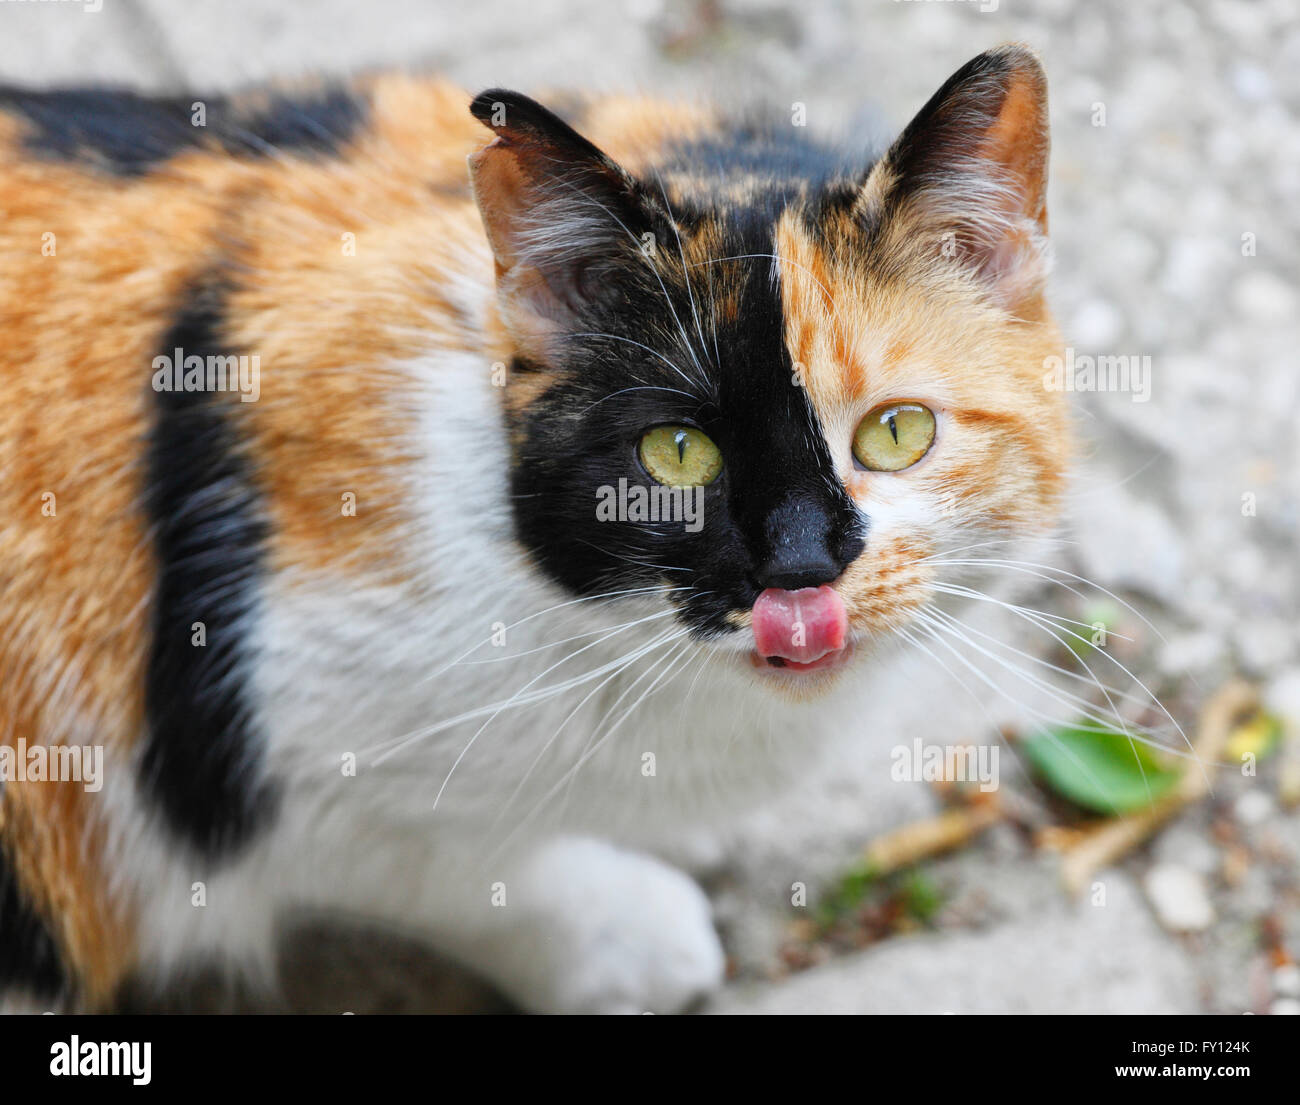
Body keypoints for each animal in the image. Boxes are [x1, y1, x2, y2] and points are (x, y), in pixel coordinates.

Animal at [0, 42, 1066, 1008]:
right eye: (677, 453)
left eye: (897, 432)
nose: (799, 568)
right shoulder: (273, 746)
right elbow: (464, 876)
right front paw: (629, 937)